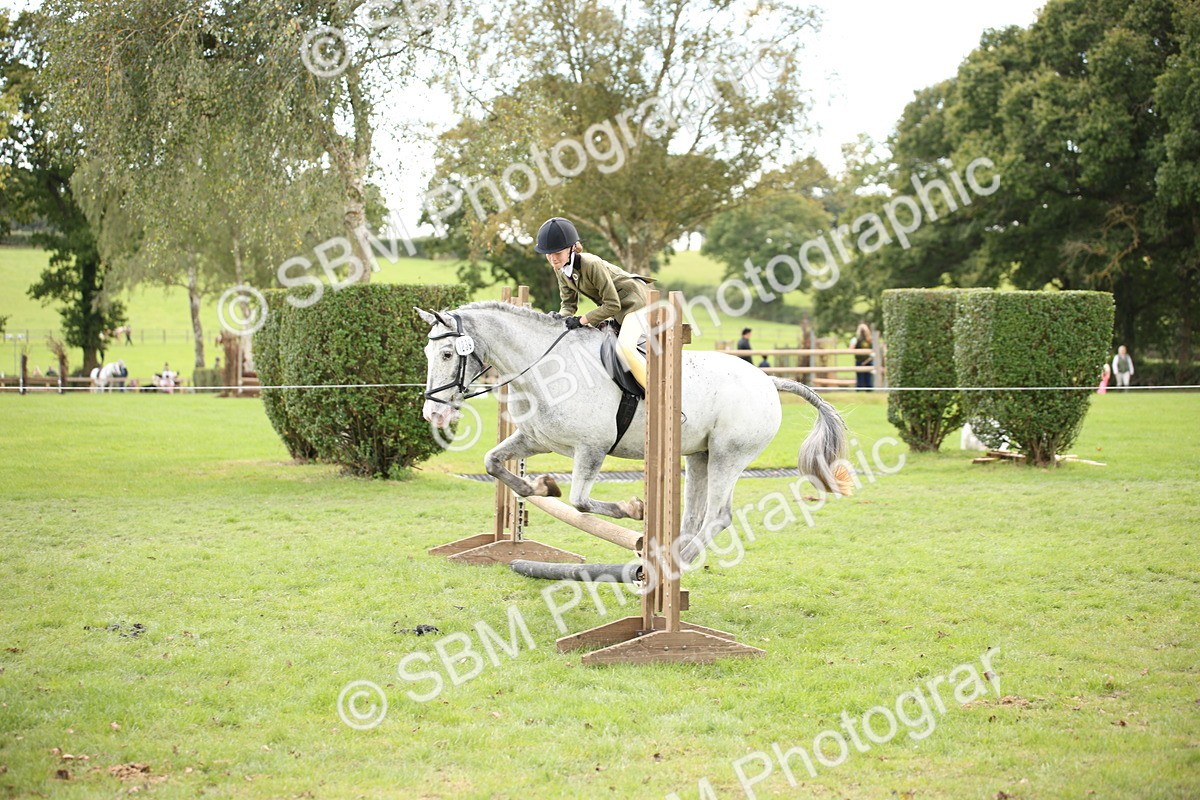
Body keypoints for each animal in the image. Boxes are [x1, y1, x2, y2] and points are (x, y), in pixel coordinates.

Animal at [417, 301, 853, 565]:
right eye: (427, 354)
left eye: (447, 354)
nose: (433, 414)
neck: (546, 367)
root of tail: (767, 380)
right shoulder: (537, 440)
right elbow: (494, 463)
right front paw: (540, 487)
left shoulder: (591, 448)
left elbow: (580, 502)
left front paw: (633, 509)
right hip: (699, 456)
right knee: (694, 516)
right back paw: (668, 560)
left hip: (729, 455)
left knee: (718, 516)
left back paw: (678, 564)